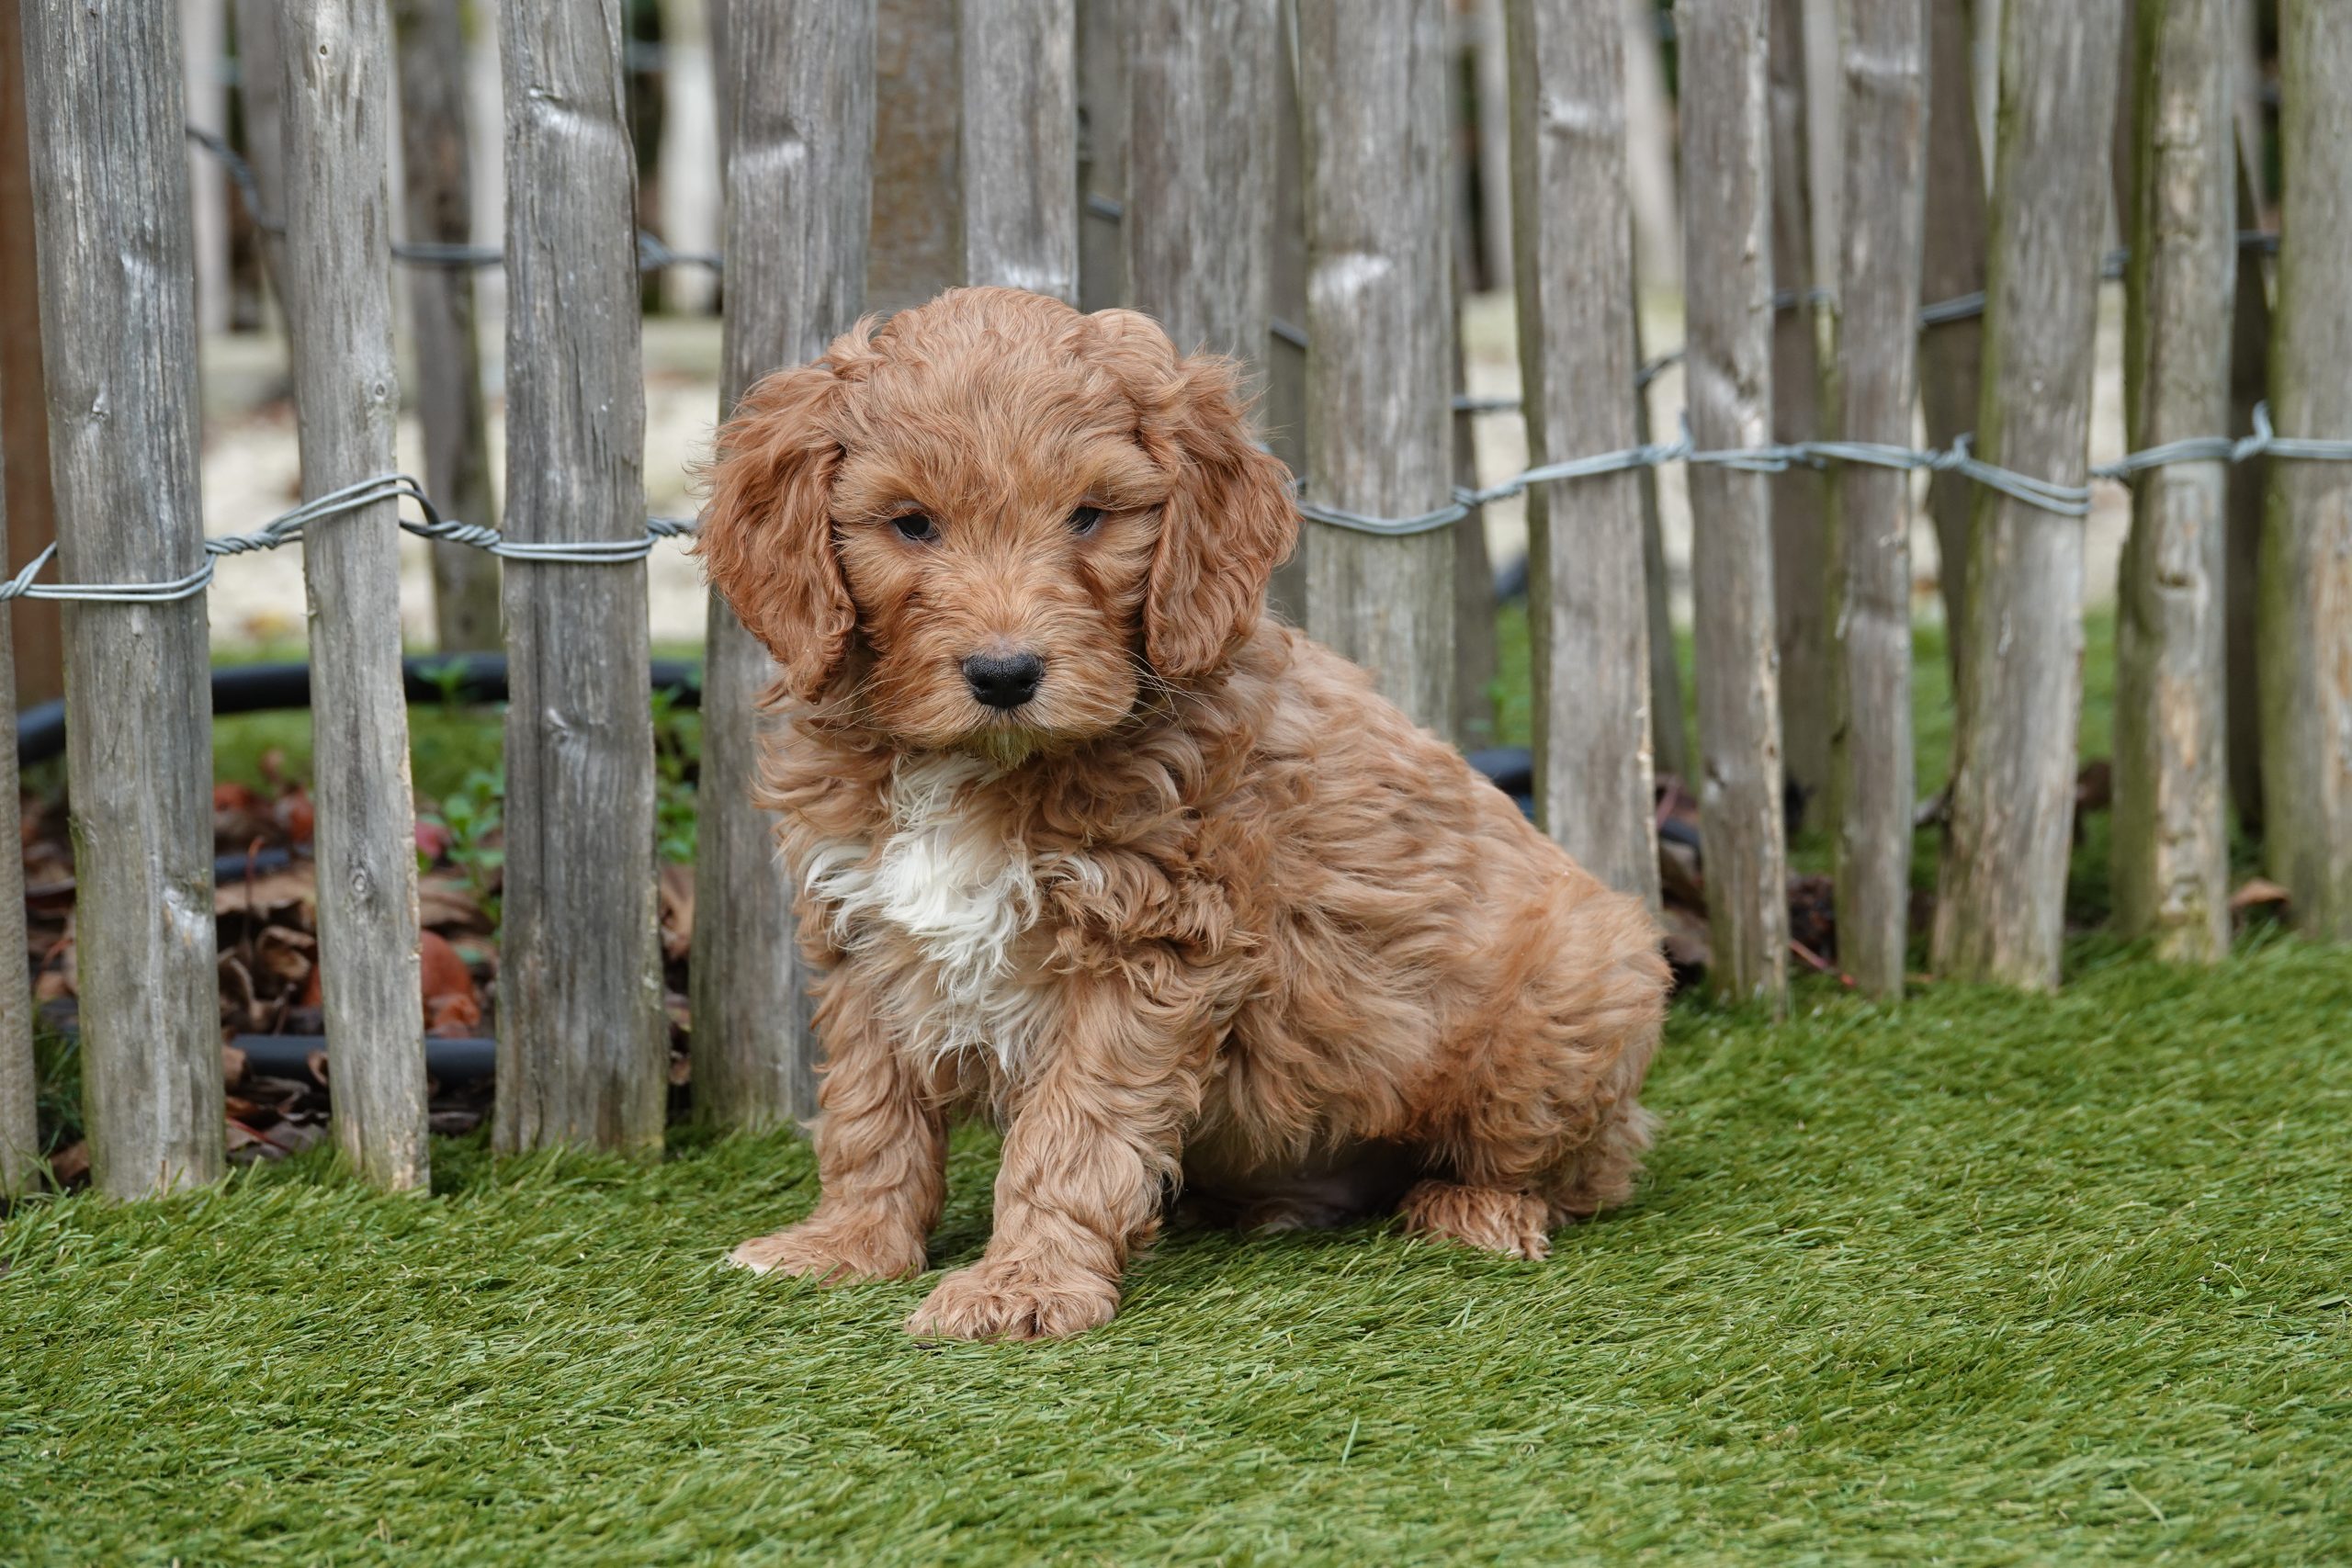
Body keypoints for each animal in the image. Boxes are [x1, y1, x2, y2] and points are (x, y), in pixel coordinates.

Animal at [696, 287, 1667, 1341]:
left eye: (1089, 516)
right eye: (912, 526)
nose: (1004, 674)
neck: (981, 767)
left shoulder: (1148, 947)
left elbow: (1071, 1132)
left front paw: (1024, 1285)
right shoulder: (864, 934)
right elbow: (870, 1113)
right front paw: (847, 1245)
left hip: (1577, 995)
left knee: (1578, 1165)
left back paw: (1475, 1210)